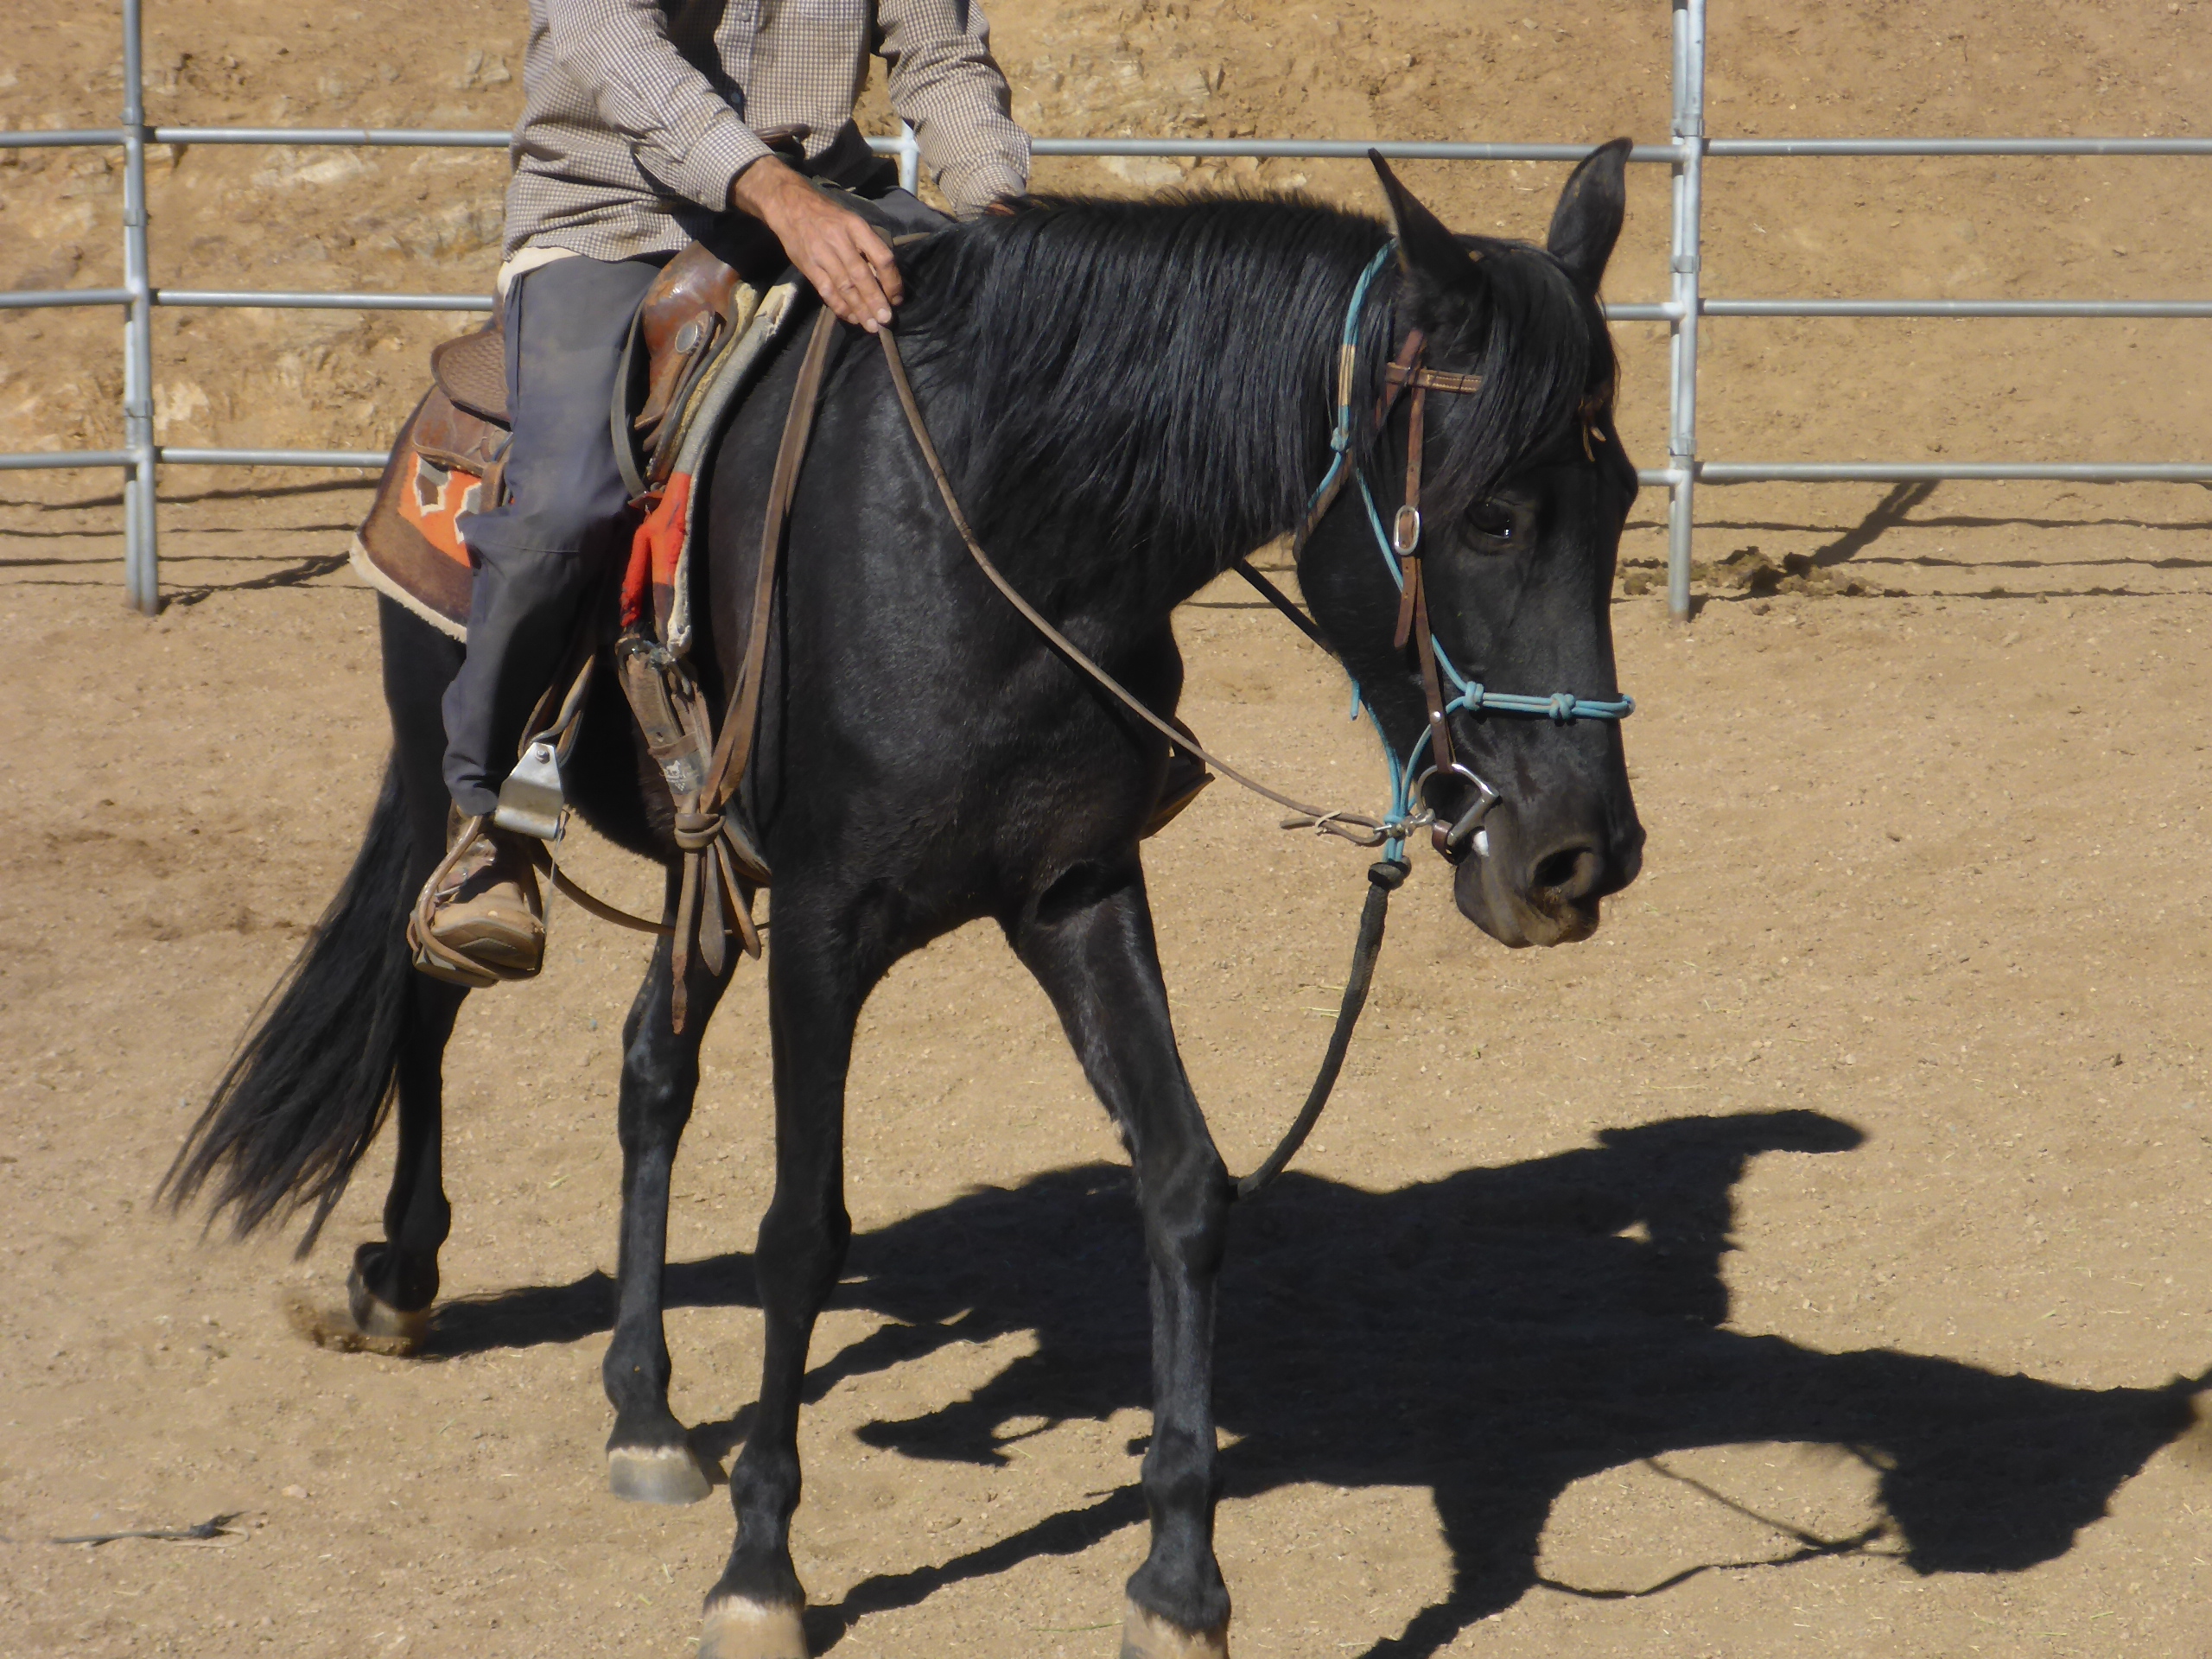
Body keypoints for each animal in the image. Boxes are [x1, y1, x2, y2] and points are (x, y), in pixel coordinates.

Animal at [163, 146, 1645, 1659]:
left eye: (1626, 500)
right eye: (1492, 515)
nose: (1582, 857)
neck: (995, 538)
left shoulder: (1073, 891)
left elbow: (1183, 1185)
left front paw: (1179, 1583)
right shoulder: (826, 927)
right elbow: (801, 1234)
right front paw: (762, 1570)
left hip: (707, 873)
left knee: (650, 1071)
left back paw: (644, 1411)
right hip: (438, 768)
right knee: (427, 990)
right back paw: (401, 1276)